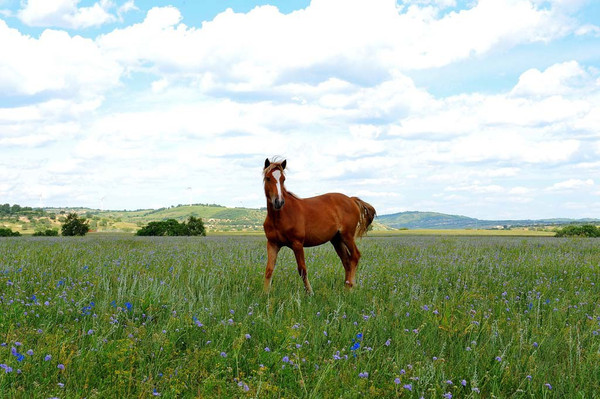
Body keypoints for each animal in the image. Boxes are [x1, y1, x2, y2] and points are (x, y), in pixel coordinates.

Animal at [262, 158, 376, 296]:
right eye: (268, 178)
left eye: (283, 179)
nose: (279, 202)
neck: (280, 216)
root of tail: (351, 199)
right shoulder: (272, 244)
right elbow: (269, 270)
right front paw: (265, 294)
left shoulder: (297, 244)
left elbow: (302, 270)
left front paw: (310, 293)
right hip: (337, 240)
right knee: (346, 261)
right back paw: (345, 286)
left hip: (347, 236)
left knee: (355, 256)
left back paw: (350, 287)